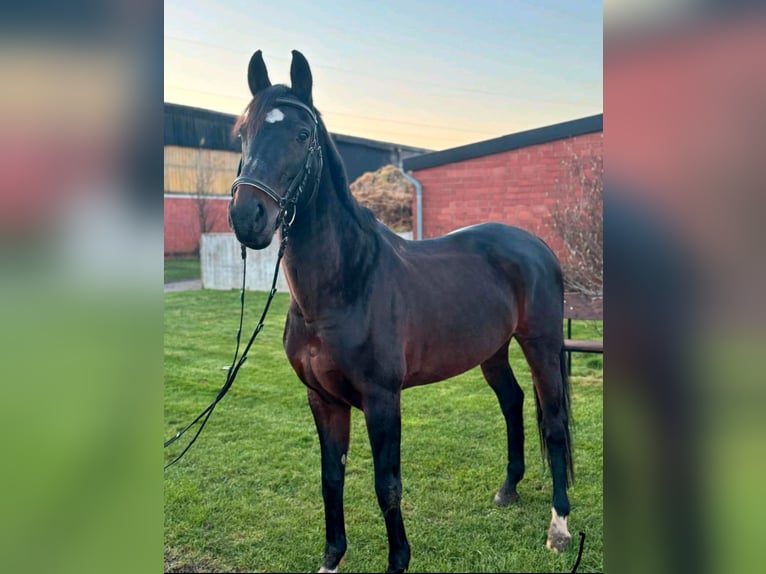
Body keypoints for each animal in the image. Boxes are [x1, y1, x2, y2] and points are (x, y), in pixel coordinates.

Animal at [228, 50, 576, 574]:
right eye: (242, 133)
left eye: (303, 134)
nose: (247, 216)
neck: (344, 285)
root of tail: (536, 244)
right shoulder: (322, 400)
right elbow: (331, 479)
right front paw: (331, 559)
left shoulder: (382, 400)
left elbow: (386, 485)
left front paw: (398, 561)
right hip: (491, 351)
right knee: (512, 401)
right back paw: (508, 489)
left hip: (542, 346)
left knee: (553, 425)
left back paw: (559, 527)